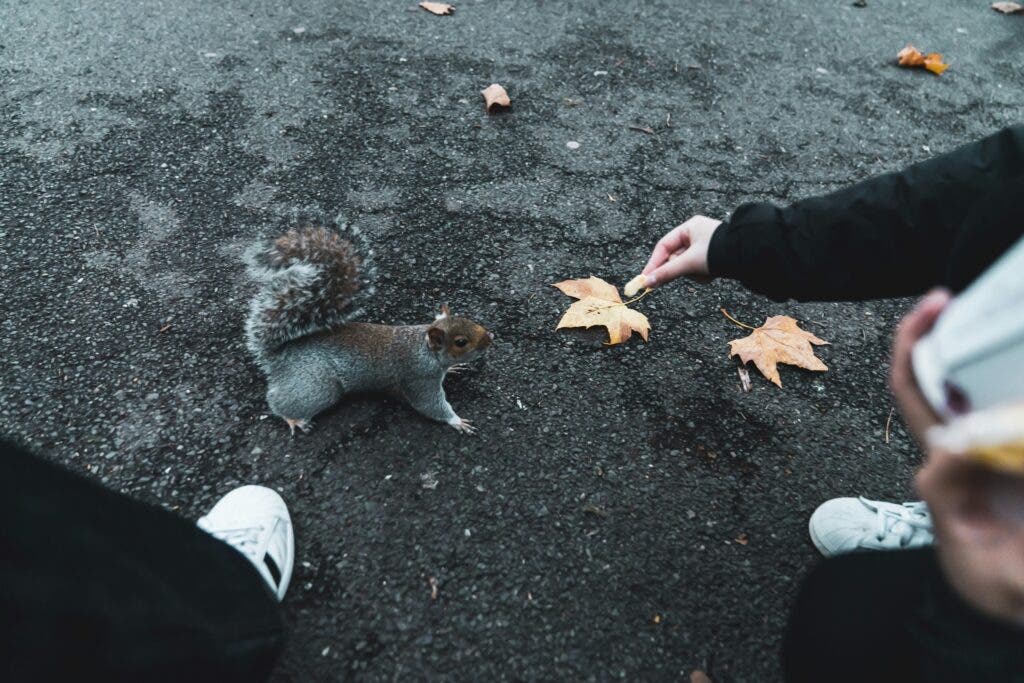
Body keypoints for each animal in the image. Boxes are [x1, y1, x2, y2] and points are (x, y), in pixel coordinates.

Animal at [244, 223, 493, 435]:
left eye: (469, 319)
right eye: (461, 342)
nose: (490, 339)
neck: (425, 348)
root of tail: (279, 357)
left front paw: (454, 369)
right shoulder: (419, 377)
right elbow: (430, 405)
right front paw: (456, 421)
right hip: (317, 386)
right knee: (278, 401)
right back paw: (294, 419)